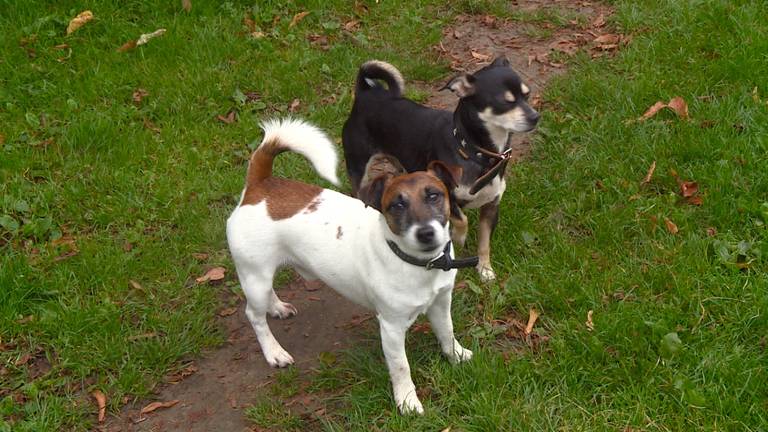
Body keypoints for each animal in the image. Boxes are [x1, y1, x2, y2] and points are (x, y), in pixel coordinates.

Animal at [225, 117, 472, 412]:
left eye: (434, 195)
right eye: (396, 205)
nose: (426, 233)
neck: (420, 265)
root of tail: (259, 186)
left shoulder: (441, 302)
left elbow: (447, 332)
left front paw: (456, 356)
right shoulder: (391, 327)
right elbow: (401, 367)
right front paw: (407, 402)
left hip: (261, 277)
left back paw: (277, 308)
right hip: (255, 276)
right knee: (254, 315)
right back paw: (274, 352)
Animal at [342, 58, 540, 280]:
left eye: (527, 95)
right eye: (506, 102)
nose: (535, 117)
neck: (473, 151)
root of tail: (365, 94)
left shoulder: (491, 205)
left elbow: (484, 241)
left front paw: (484, 268)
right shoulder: (449, 196)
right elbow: (462, 220)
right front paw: (458, 238)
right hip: (358, 167)